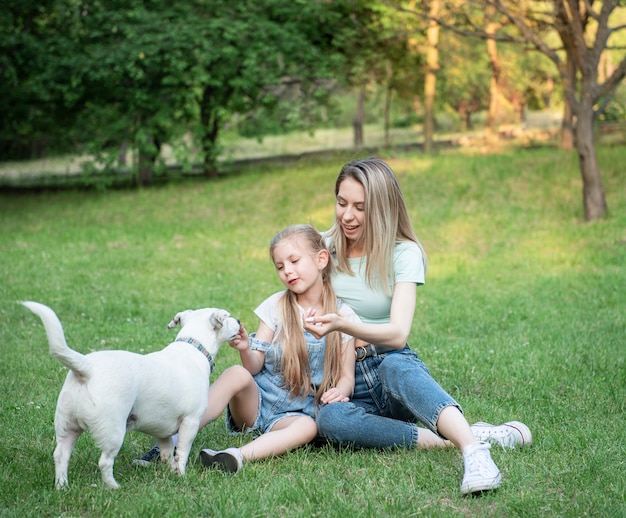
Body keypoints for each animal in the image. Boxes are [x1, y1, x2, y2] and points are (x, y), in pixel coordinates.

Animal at [21, 302, 239, 490]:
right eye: (228, 317)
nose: (239, 320)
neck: (194, 347)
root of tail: (86, 368)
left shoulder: (163, 432)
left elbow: (167, 453)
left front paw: (169, 473)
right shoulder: (190, 422)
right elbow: (182, 454)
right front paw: (180, 475)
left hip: (67, 426)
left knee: (60, 455)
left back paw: (62, 486)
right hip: (113, 431)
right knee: (104, 462)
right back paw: (113, 487)